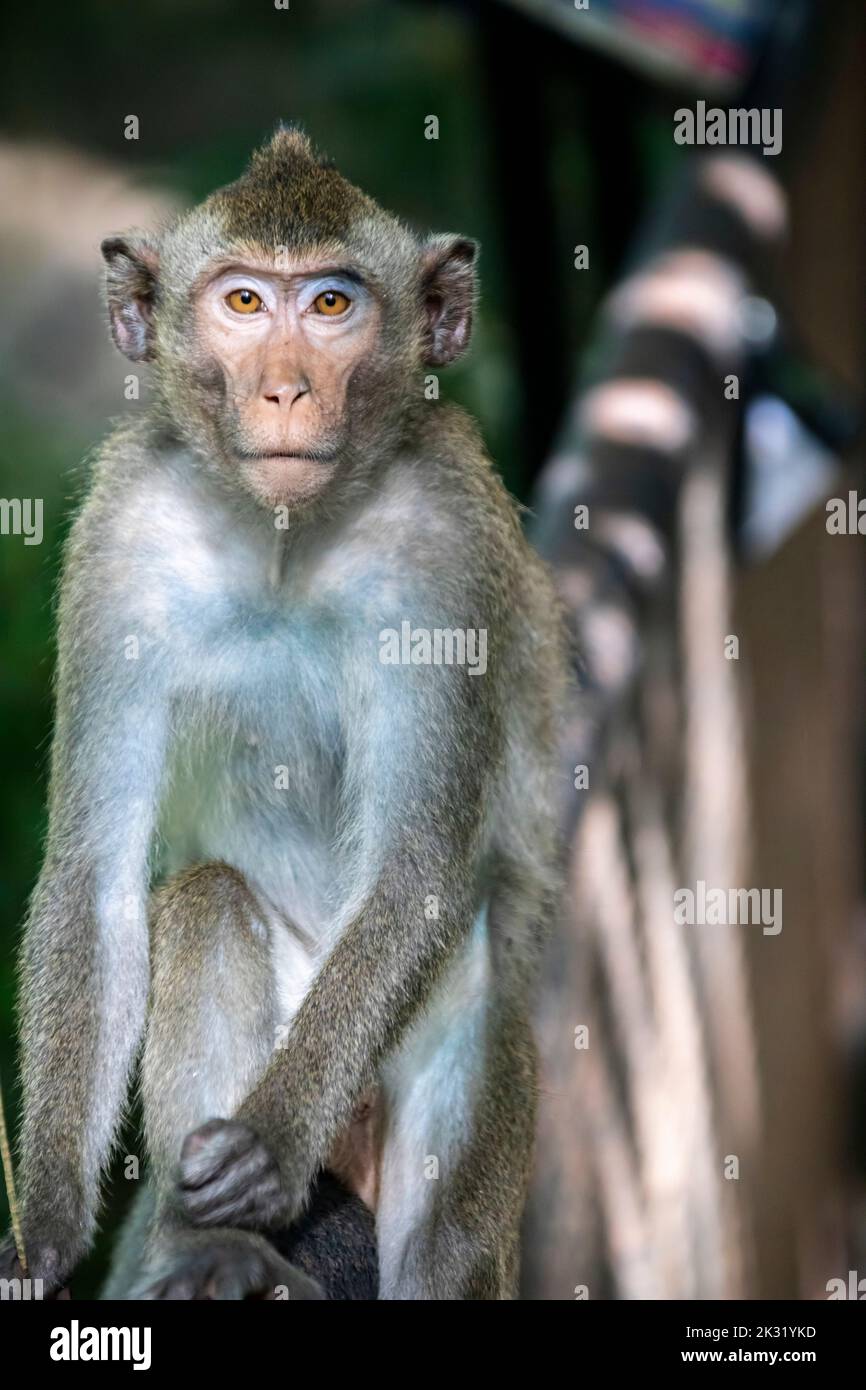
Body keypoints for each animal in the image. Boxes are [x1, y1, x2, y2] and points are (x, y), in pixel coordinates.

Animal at [0, 130, 569, 1301]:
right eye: (245, 301)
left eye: (333, 304)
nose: (285, 390)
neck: (283, 534)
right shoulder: (122, 529)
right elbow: (95, 876)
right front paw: (47, 1227)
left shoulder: (447, 541)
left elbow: (418, 869)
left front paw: (265, 1146)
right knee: (208, 900)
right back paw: (209, 1246)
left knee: (465, 980)